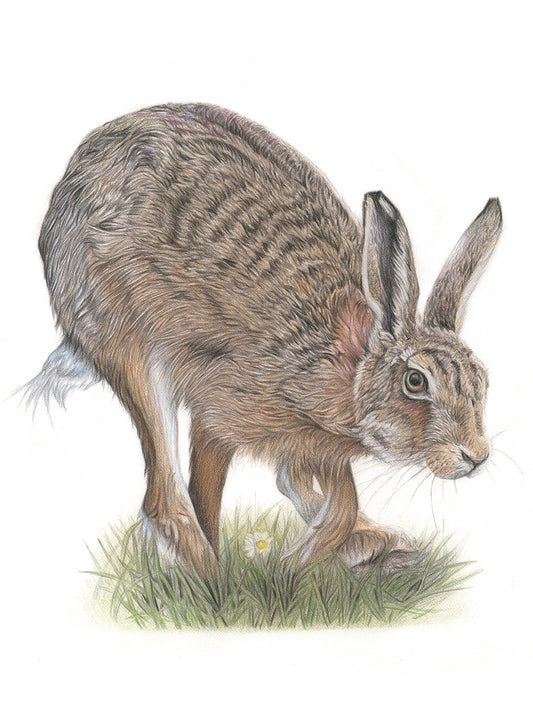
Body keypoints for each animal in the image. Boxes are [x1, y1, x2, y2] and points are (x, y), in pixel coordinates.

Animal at [26, 103, 502, 575]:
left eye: (482, 380)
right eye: (416, 382)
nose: (476, 456)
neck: (350, 364)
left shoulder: (315, 441)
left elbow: (336, 497)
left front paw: (316, 555)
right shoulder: (222, 408)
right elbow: (213, 494)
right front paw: (272, 570)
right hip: (127, 343)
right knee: (164, 496)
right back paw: (210, 578)